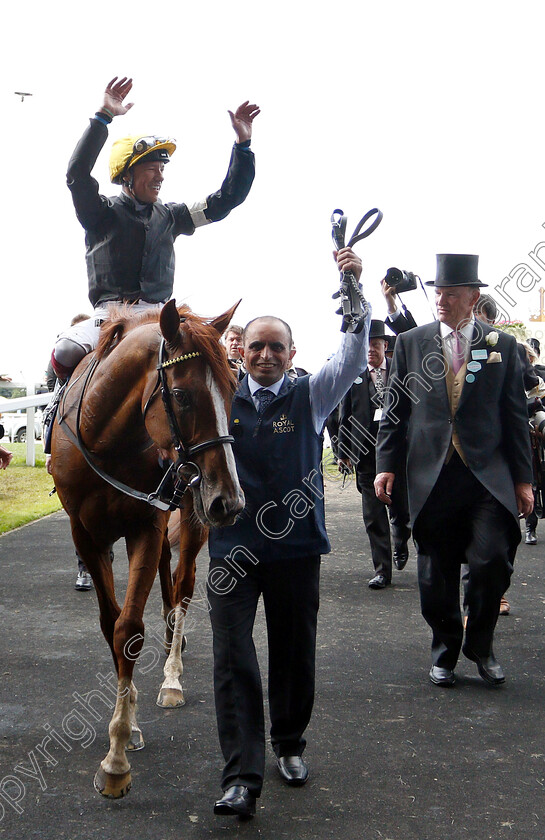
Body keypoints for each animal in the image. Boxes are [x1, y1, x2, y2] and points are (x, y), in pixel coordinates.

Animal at [51, 298, 242, 796]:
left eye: (233, 389)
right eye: (182, 395)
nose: (230, 501)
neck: (107, 441)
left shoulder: (145, 525)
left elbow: (130, 630)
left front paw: (116, 757)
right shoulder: (86, 534)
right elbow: (111, 625)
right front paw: (128, 725)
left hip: (193, 516)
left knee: (184, 586)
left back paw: (172, 674)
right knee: (168, 585)